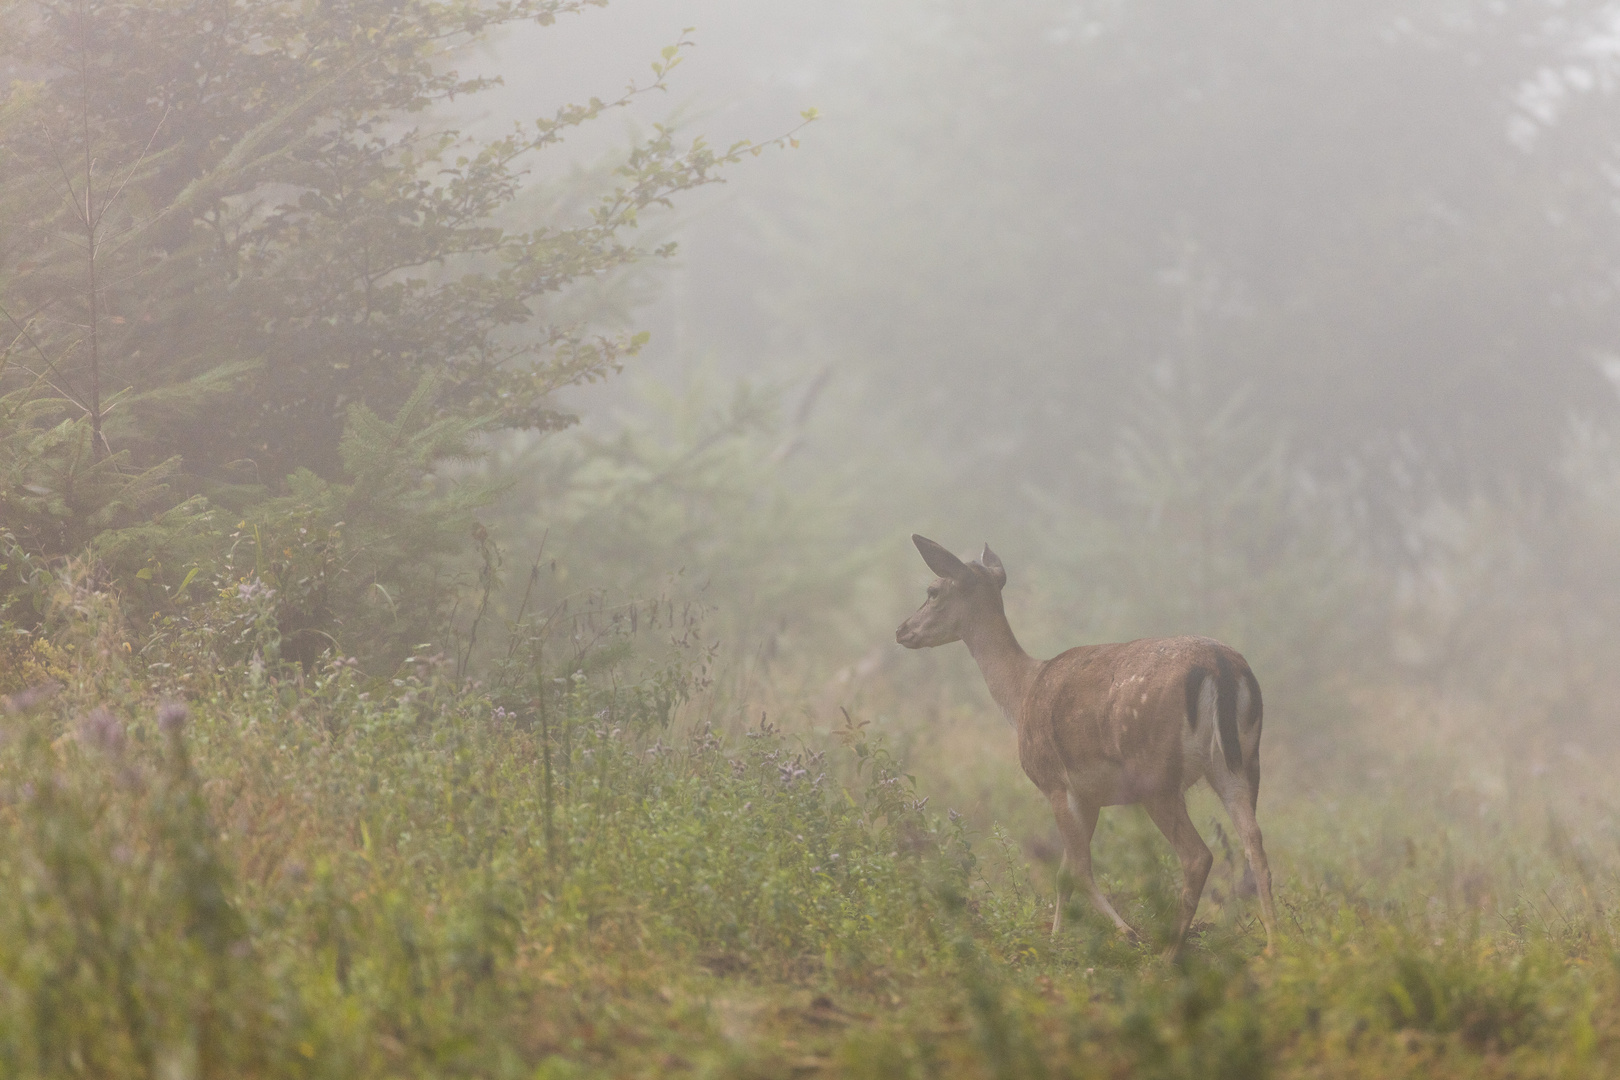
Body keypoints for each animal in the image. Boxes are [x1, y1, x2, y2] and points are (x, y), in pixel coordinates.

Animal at [894, 537, 1270, 958]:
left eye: (932, 590)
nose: (902, 630)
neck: (1021, 694)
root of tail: (1220, 666)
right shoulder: (1090, 795)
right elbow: (1066, 871)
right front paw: (1060, 936)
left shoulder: (1055, 782)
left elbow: (1075, 868)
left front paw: (1121, 933)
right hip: (1243, 762)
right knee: (1255, 844)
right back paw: (1275, 945)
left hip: (1155, 774)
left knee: (1197, 856)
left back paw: (1168, 955)